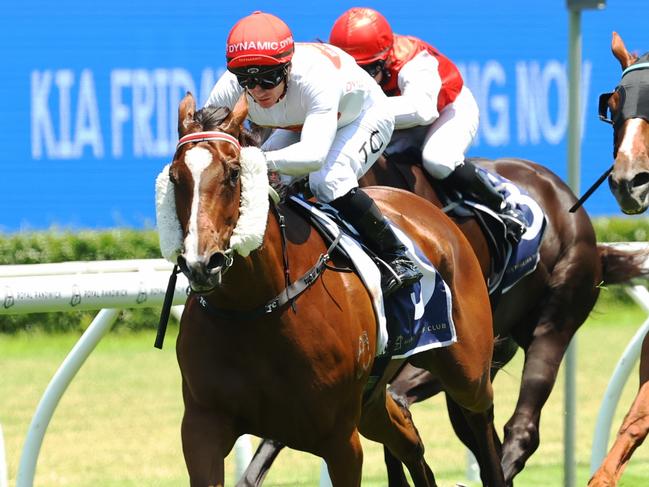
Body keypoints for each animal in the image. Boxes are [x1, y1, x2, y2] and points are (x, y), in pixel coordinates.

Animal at [161, 92, 502, 487]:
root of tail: (432, 213)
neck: (255, 307)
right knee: (408, 437)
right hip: (372, 400)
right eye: (175, 176)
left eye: (233, 173)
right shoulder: (203, 427)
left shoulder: (340, 440)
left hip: (467, 369)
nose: (202, 263)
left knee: (481, 418)